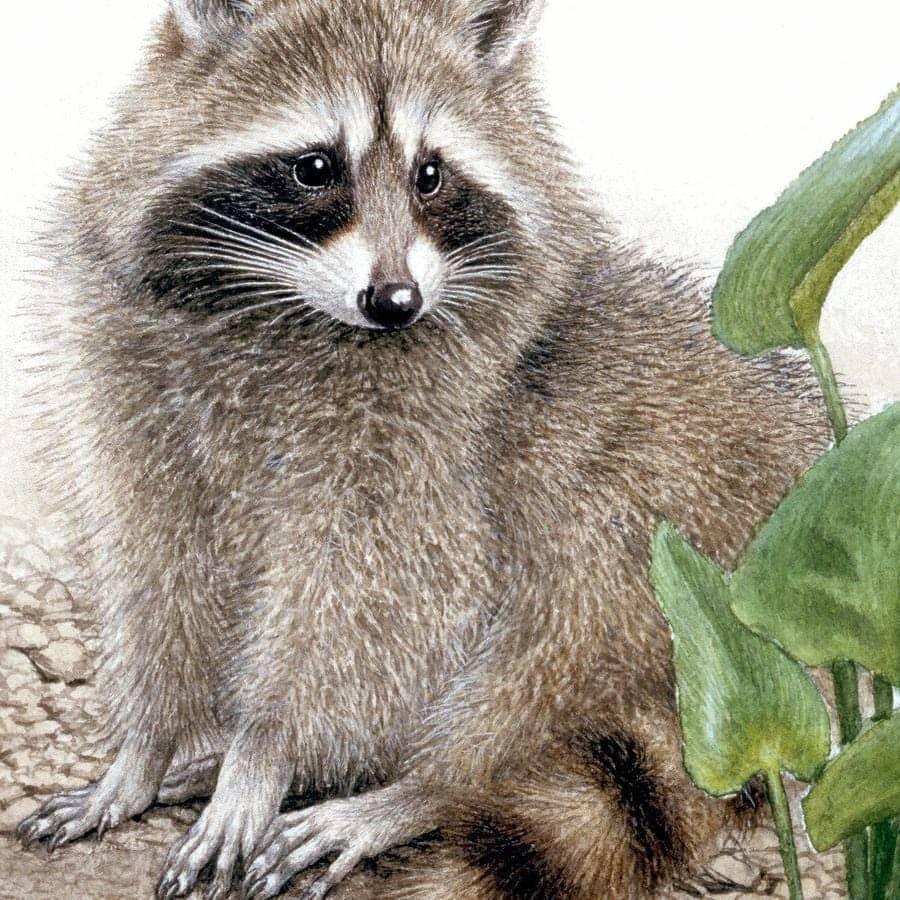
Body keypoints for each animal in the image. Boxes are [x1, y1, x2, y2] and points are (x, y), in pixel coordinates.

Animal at [17, 0, 826, 897]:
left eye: (430, 175)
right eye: (315, 168)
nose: (395, 300)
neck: (278, 308)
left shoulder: (437, 437)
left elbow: (365, 596)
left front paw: (262, 757)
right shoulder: (138, 392)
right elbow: (158, 568)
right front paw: (147, 752)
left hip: (684, 554)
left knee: (567, 595)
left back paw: (418, 787)